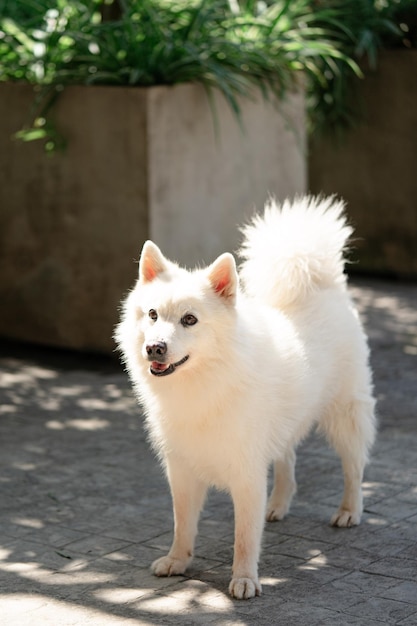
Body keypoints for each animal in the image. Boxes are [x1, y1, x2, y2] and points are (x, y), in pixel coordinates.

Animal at [115, 196, 376, 600]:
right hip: (285, 423)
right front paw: (177, 560)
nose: (154, 348)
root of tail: (324, 285)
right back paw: (279, 505)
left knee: (354, 466)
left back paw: (349, 510)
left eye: (189, 320)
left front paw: (244, 579)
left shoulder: (247, 473)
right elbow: (182, 523)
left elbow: (245, 537)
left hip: (344, 415)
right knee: (288, 460)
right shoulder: (182, 468)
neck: (205, 382)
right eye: (153, 314)